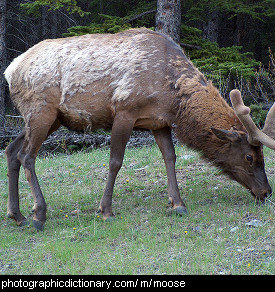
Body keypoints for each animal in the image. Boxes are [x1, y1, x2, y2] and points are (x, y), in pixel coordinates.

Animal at [3, 28, 274, 232]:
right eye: (249, 157)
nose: (266, 192)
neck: (173, 98)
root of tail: (10, 70)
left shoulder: (159, 122)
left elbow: (170, 157)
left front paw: (177, 204)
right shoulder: (124, 111)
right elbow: (115, 161)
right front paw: (106, 210)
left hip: (52, 119)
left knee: (11, 150)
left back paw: (17, 215)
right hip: (41, 110)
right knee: (26, 156)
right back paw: (38, 215)